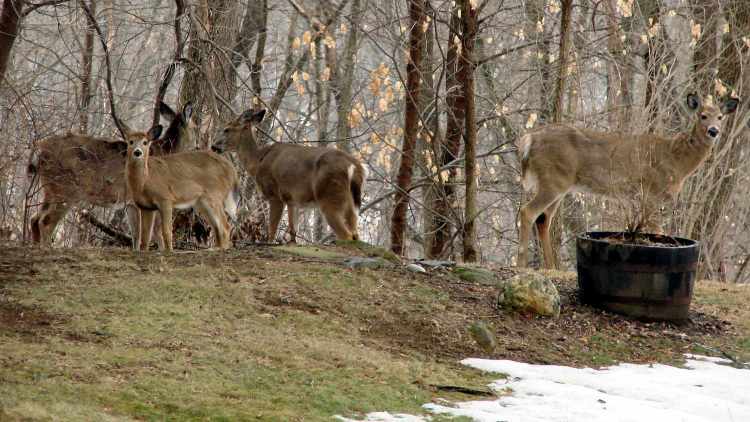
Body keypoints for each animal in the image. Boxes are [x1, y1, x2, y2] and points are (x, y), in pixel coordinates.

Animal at [28, 102, 195, 248]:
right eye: (195, 126)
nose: (199, 144)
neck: (165, 151)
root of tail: (41, 150)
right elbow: (155, 233)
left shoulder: (130, 203)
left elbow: (136, 235)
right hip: (66, 189)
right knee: (46, 221)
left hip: (50, 188)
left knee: (34, 218)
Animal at [212, 108, 367, 243]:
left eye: (227, 129)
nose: (213, 146)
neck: (258, 160)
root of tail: (354, 166)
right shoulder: (292, 200)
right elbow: (293, 232)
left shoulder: (275, 195)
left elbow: (272, 231)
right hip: (351, 204)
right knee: (355, 233)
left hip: (329, 196)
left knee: (347, 235)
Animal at [516, 93, 740, 269]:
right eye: (703, 116)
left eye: (720, 117)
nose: (713, 130)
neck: (677, 161)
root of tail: (529, 140)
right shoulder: (651, 190)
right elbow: (657, 231)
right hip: (553, 180)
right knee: (528, 212)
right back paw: (522, 265)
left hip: (560, 185)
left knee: (543, 219)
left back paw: (551, 267)